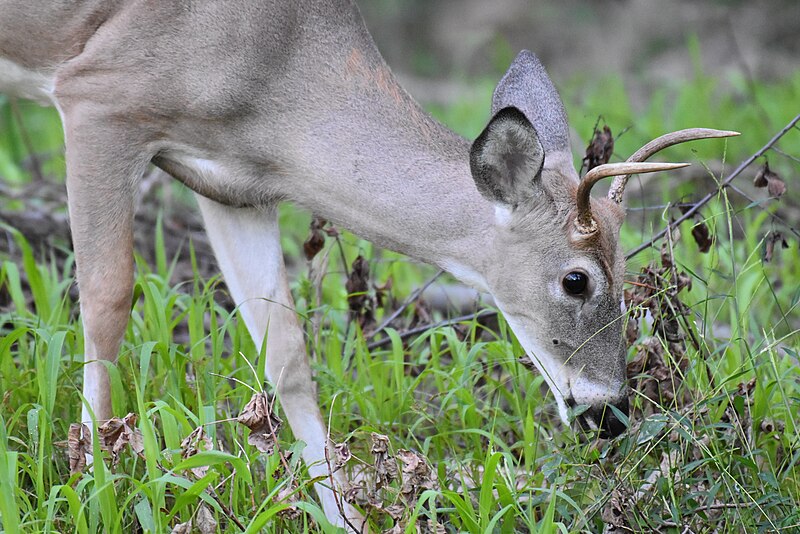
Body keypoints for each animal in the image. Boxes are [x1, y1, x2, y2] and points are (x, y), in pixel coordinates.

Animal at [0, 0, 736, 528]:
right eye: (576, 279)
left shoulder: (234, 185)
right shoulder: (98, 98)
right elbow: (106, 299)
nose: (611, 412)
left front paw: (341, 517)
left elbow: (287, 352)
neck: (277, 72)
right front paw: (90, 484)